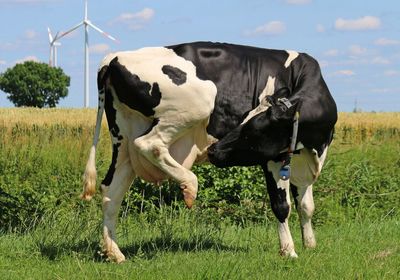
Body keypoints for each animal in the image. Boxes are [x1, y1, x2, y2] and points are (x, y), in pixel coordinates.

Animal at [82, 41, 338, 262]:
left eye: (250, 130)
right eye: (245, 125)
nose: (214, 151)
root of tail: (113, 58)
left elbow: (306, 206)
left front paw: (310, 244)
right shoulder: (274, 158)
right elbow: (282, 205)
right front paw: (289, 251)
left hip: (122, 138)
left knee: (111, 190)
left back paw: (114, 252)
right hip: (198, 104)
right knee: (149, 144)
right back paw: (189, 185)